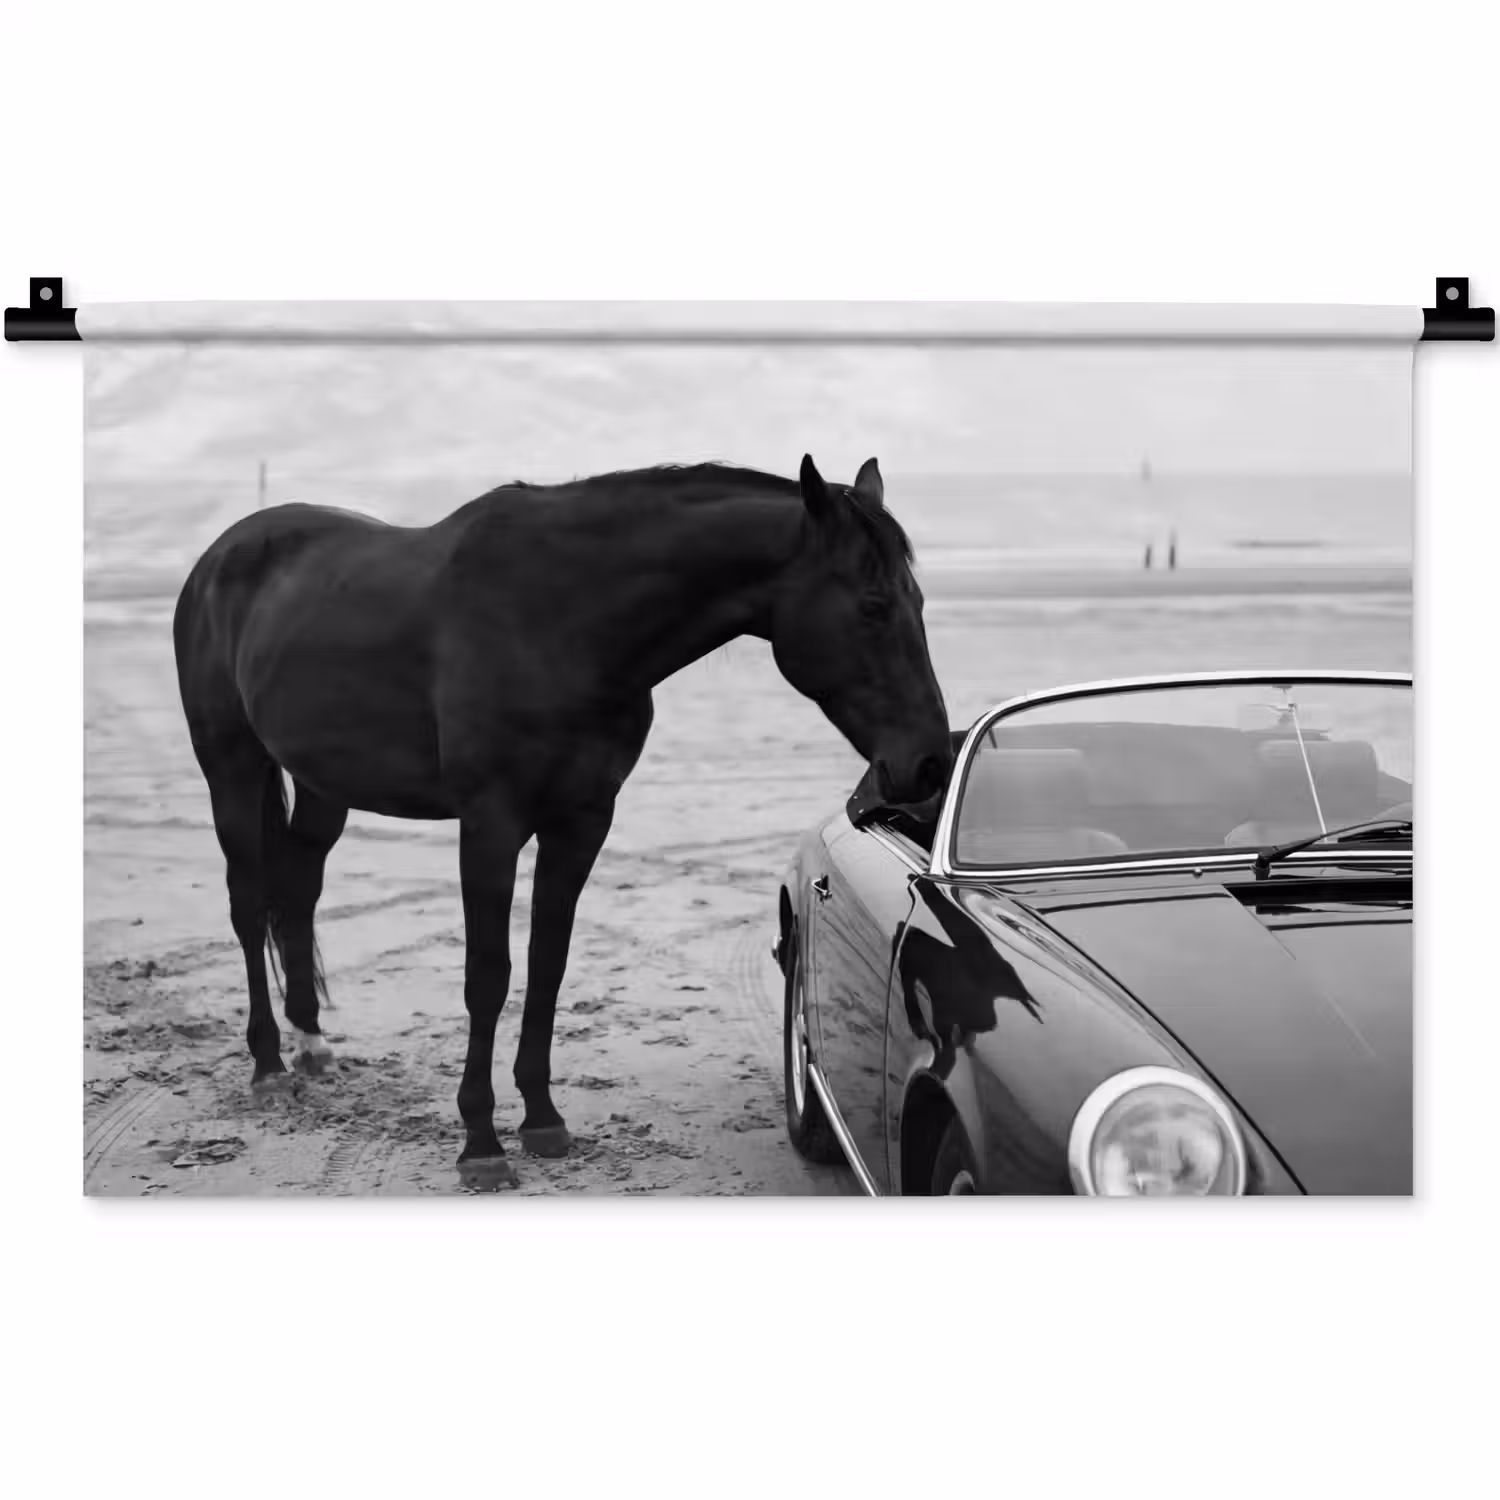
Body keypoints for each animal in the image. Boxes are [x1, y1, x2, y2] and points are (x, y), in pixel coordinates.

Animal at [173, 454, 952, 1187]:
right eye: (874, 605)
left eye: (917, 599)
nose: (929, 764)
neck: (560, 619)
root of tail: (221, 554)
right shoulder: (489, 822)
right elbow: (488, 974)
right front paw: (481, 1145)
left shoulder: (581, 821)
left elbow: (548, 962)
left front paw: (542, 1120)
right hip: (231, 767)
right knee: (249, 903)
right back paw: (268, 1067)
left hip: (320, 782)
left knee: (299, 890)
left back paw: (310, 1045)